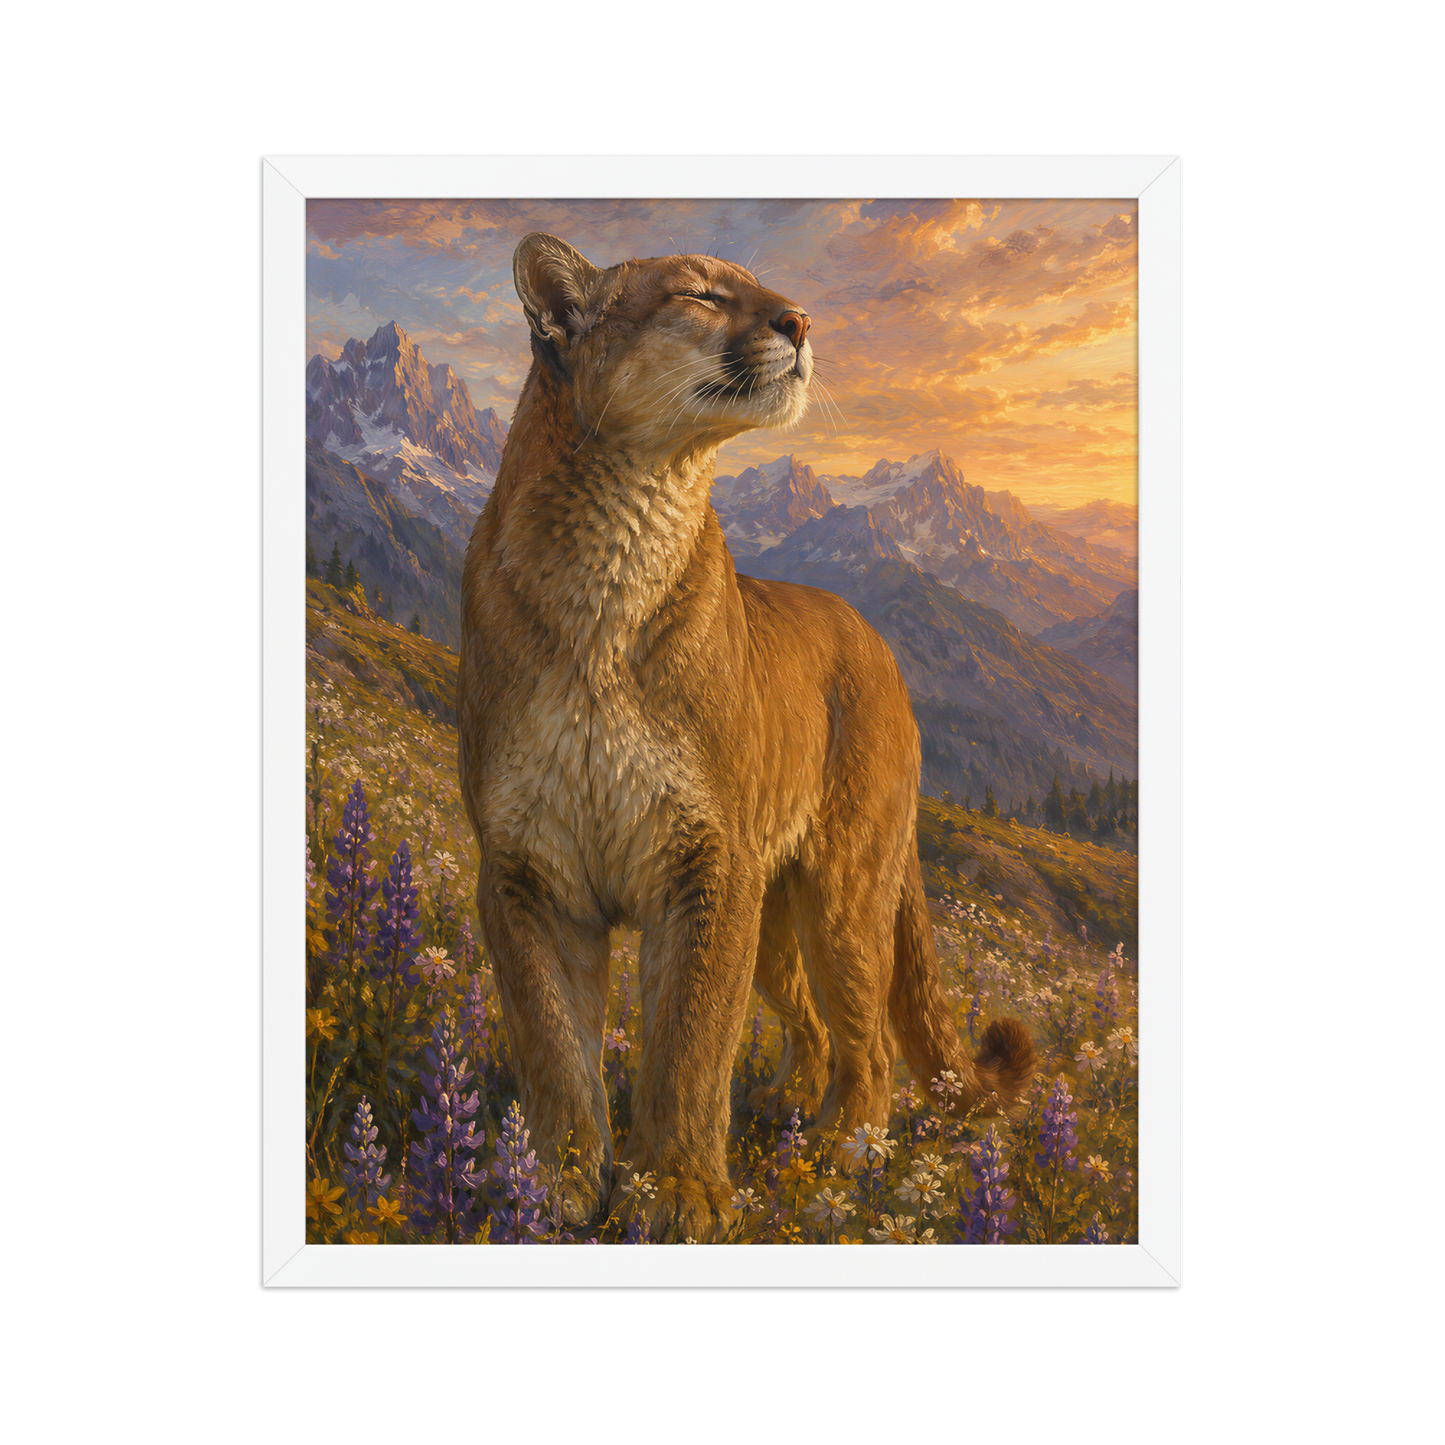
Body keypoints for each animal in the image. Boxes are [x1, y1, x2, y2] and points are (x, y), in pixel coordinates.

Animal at [458, 233, 1035, 1242]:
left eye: (756, 284)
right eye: (695, 293)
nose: (800, 320)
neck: (614, 551)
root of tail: (873, 636)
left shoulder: (704, 862)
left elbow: (688, 1041)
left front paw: (679, 1191)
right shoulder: (527, 868)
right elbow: (552, 1041)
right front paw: (556, 1185)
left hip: (841, 889)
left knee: (870, 1043)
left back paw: (843, 1159)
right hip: (773, 913)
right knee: (810, 1025)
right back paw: (794, 1115)